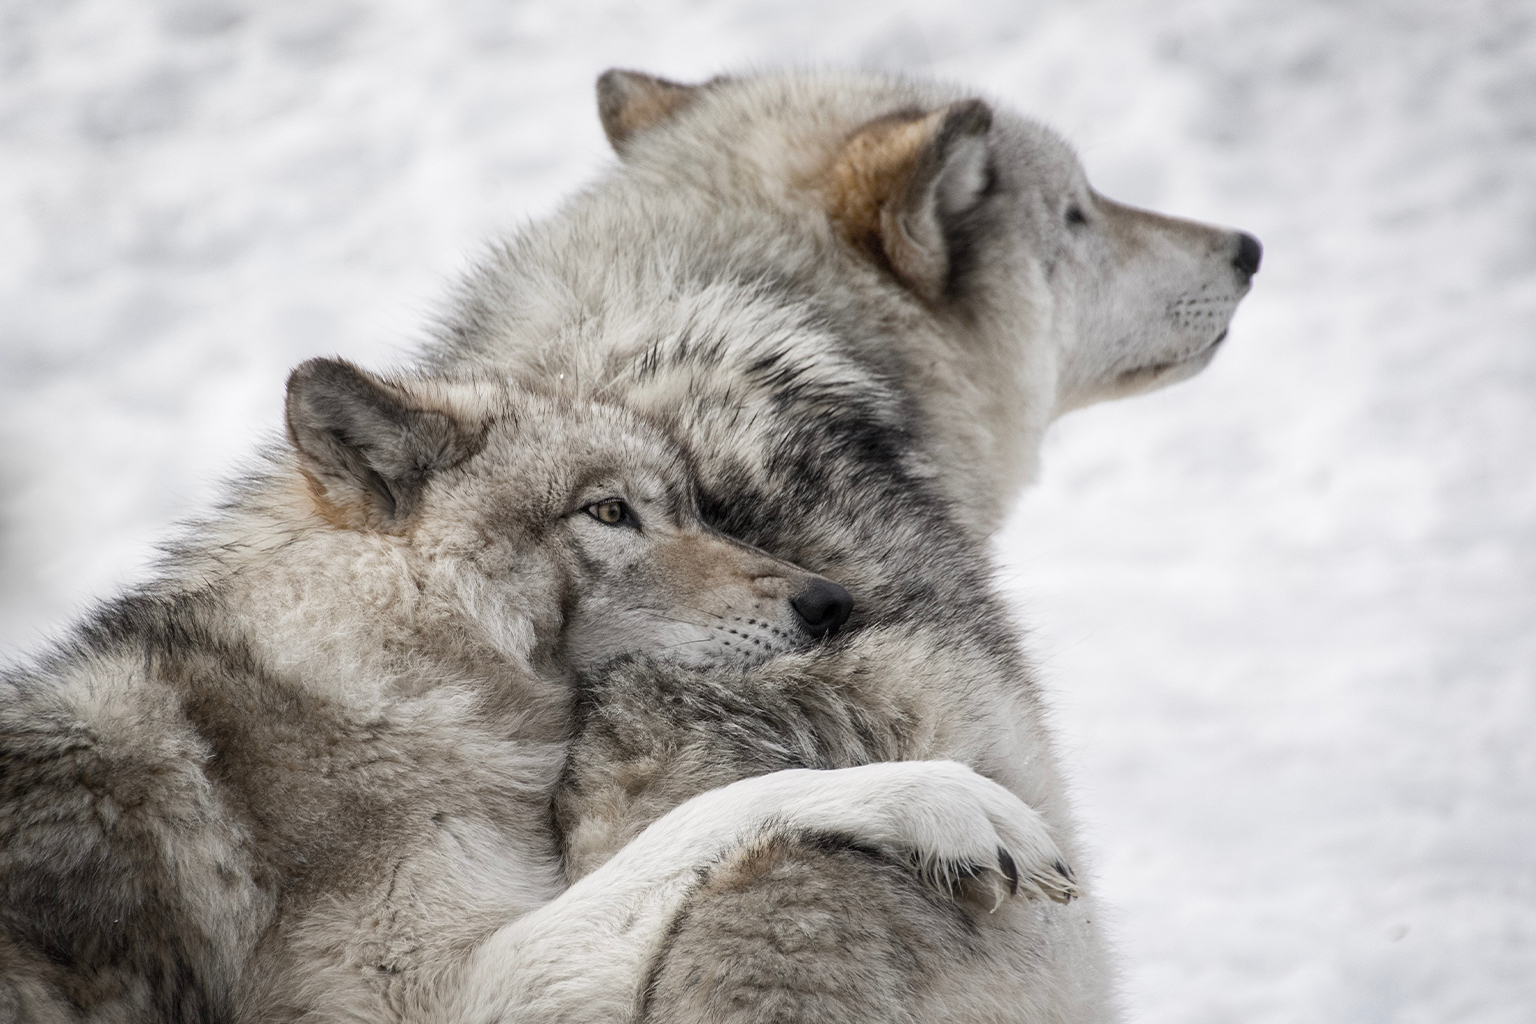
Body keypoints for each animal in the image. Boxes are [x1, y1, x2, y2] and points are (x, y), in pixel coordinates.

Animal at [0, 356, 1069, 1019]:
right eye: (610, 512)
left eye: (690, 506)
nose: (830, 602)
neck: (373, 676)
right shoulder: (433, 996)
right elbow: (725, 807)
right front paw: (947, 802)